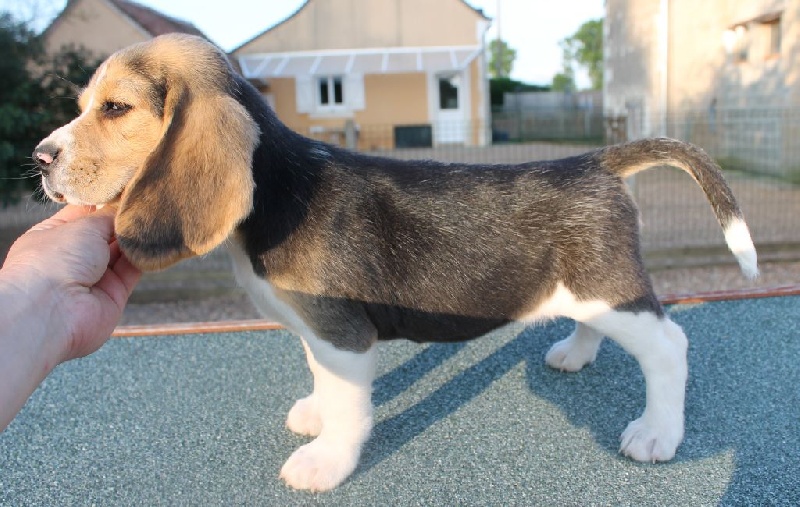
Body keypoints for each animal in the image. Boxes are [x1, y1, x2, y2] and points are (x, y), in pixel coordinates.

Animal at [33, 34, 758, 492]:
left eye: (116, 108)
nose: (39, 159)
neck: (275, 185)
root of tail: (596, 160)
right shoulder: (320, 333)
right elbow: (323, 380)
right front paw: (316, 413)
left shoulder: (344, 334)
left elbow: (351, 404)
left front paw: (326, 460)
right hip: (588, 289)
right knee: (591, 324)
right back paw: (574, 355)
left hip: (613, 291)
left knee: (668, 346)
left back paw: (657, 432)